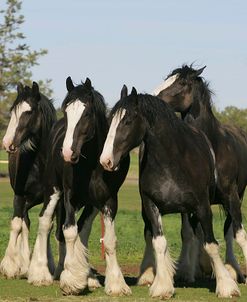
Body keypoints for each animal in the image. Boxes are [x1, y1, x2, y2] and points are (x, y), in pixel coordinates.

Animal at [0, 81, 56, 278]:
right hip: (26, 200)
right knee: (24, 222)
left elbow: (48, 225)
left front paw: (46, 266)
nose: (7, 143)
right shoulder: (19, 196)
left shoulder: (52, 198)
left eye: (29, 112)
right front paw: (9, 265)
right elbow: (16, 224)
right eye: (13, 111)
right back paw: (22, 264)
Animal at [27, 76, 131, 296]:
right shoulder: (69, 196)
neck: (92, 164)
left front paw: (116, 284)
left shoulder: (108, 200)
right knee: (45, 222)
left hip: (90, 204)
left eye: (87, 113)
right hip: (53, 190)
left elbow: (108, 240)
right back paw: (40, 273)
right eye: (66, 111)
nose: (67, 152)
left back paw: (83, 275)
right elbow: (69, 231)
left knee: (82, 229)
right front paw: (72, 281)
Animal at [100, 88, 239, 300]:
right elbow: (159, 242)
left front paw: (226, 286)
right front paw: (162, 286)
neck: (172, 163)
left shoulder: (202, 207)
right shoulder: (151, 206)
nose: (105, 160)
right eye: (110, 120)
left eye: (128, 121)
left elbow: (211, 244)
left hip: (228, 201)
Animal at [153, 63, 247, 284]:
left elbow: (238, 234)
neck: (211, 145)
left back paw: (232, 269)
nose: (153, 97)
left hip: (236, 197)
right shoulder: (193, 201)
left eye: (182, 82)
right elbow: (191, 233)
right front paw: (188, 271)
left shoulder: (231, 197)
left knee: (229, 230)